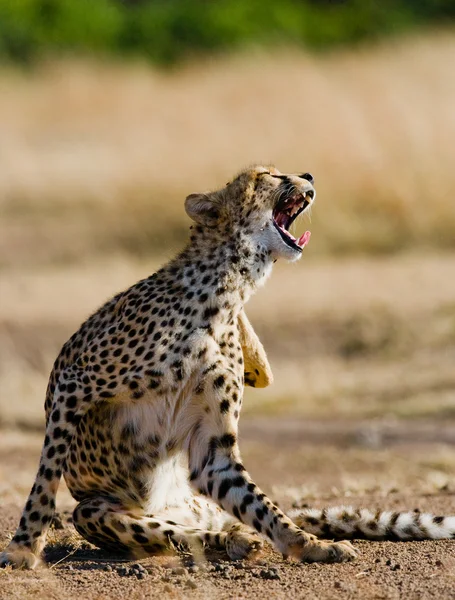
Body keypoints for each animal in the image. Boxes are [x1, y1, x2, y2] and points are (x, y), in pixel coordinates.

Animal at [2, 166, 455, 568]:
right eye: (266, 175)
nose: (309, 176)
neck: (227, 292)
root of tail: (167, 504)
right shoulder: (71, 383)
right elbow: (45, 479)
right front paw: (23, 548)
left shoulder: (212, 452)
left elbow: (259, 502)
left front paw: (307, 545)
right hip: (93, 509)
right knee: (164, 532)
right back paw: (235, 541)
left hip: (196, 505)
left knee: (209, 526)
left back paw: (242, 538)